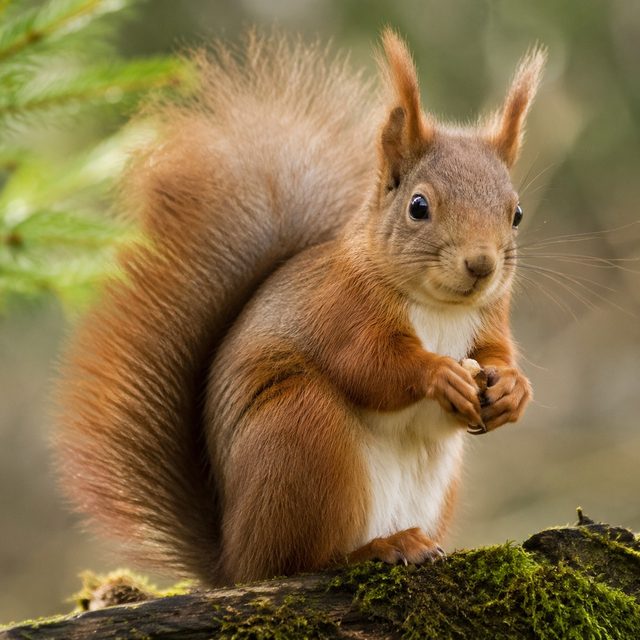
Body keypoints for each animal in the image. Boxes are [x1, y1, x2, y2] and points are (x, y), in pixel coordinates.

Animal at [55, 30, 544, 587]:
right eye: (419, 206)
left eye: (517, 213)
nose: (481, 264)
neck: (437, 307)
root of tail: (234, 559)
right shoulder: (340, 308)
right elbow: (371, 365)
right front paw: (438, 374)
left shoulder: (490, 318)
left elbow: (497, 353)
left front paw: (512, 389)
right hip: (301, 431)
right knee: (302, 559)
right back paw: (381, 547)